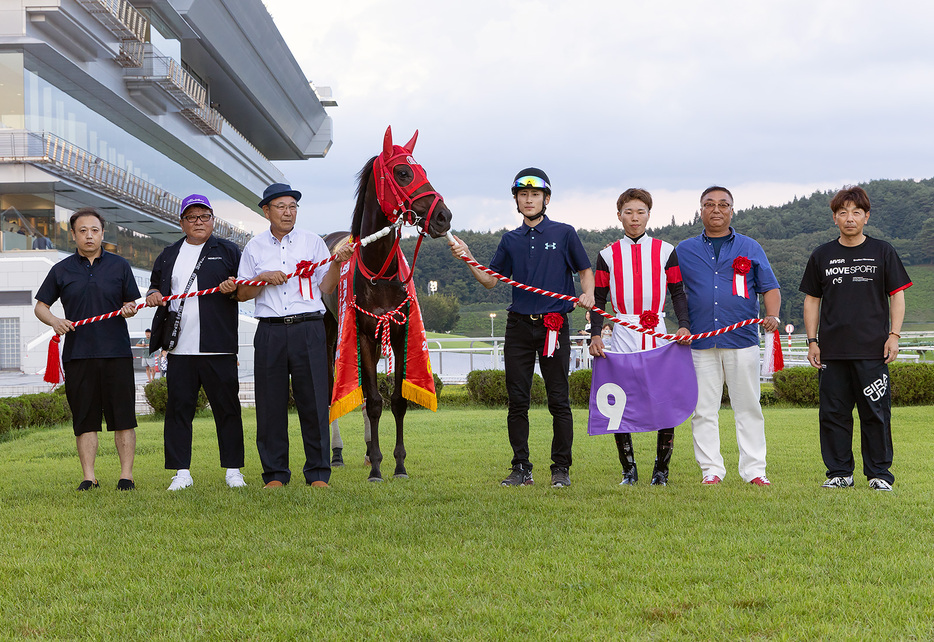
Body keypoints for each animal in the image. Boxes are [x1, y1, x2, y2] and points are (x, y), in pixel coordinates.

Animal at [324, 127, 452, 480]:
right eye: (403, 172)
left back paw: (368, 452)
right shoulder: (364, 336)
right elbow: (374, 400)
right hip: (332, 334)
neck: (379, 271)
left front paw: (397, 464)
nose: (443, 216)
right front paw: (378, 470)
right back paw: (336, 453)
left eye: (423, 169)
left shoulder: (398, 333)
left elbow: (396, 400)